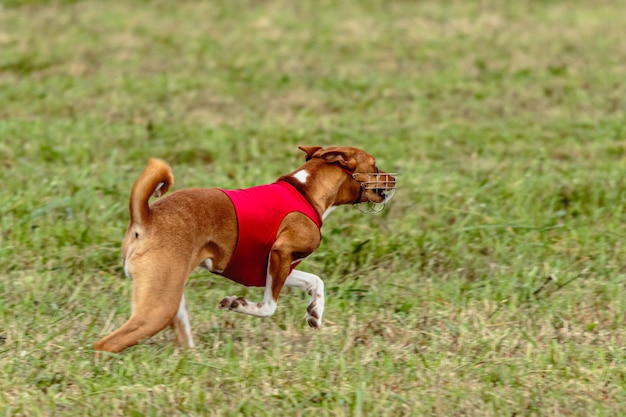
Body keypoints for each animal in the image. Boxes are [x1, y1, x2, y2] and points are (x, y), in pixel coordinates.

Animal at [91, 145, 394, 352]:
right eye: (376, 166)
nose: (393, 178)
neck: (305, 192)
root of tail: (147, 216)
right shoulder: (280, 254)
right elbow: (269, 306)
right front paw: (239, 304)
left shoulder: (271, 267)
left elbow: (315, 281)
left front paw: (315, 312)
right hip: (159, 306)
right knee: (106, 345)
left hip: (173, 297)